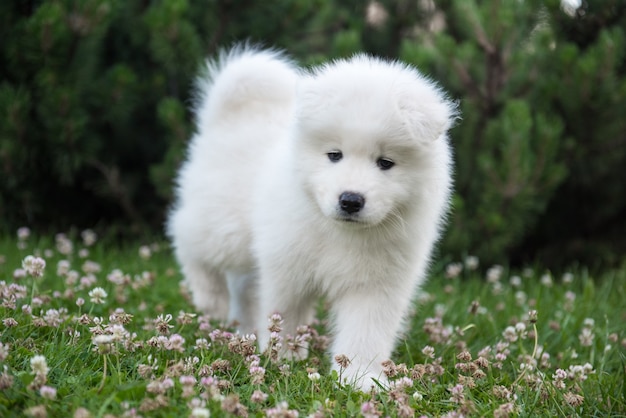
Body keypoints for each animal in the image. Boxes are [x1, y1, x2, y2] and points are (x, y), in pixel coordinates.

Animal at [168, 46, 456, 392]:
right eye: (334, 155)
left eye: (386, 162)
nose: (350, 200)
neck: (339, 232)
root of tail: (232, 118)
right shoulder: (288, 267)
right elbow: (284, 314)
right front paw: (283, 358)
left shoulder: (377, 285)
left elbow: (366, 333)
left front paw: (360, 378)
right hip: (224, 226)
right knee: (186, 236)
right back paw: (211, 299)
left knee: (243, 285)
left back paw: (243, 329)